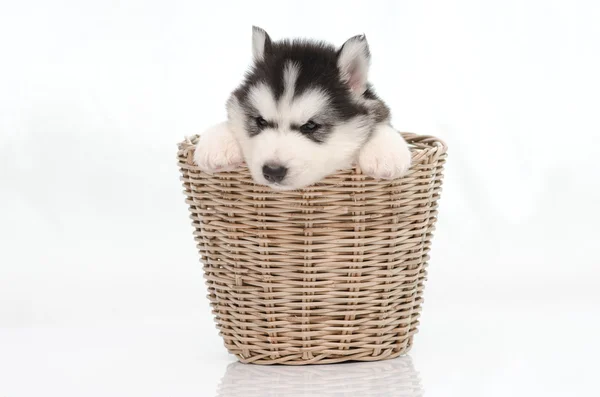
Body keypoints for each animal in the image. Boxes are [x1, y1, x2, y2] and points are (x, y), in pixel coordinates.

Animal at [195, 26, 410, 190]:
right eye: (261, 121)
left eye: (310, 126)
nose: (273, 171)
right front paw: (216, 144)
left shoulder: (374, 105)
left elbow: (381, 122)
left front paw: (386, 155)